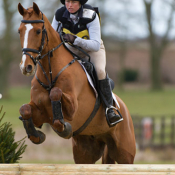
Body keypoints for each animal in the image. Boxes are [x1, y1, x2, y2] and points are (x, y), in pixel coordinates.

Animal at [17, 2, 136, 164]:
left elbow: (56, 94)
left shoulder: (73, 108)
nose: (26, 67)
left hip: (125, 153)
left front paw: (63, 128)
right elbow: (25, 109)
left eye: (38, 31)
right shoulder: (39, 112)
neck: (50, 74)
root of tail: (124, 108)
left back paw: (113, 114)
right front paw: (36, 136)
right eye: (19, 31)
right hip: (85, 153)